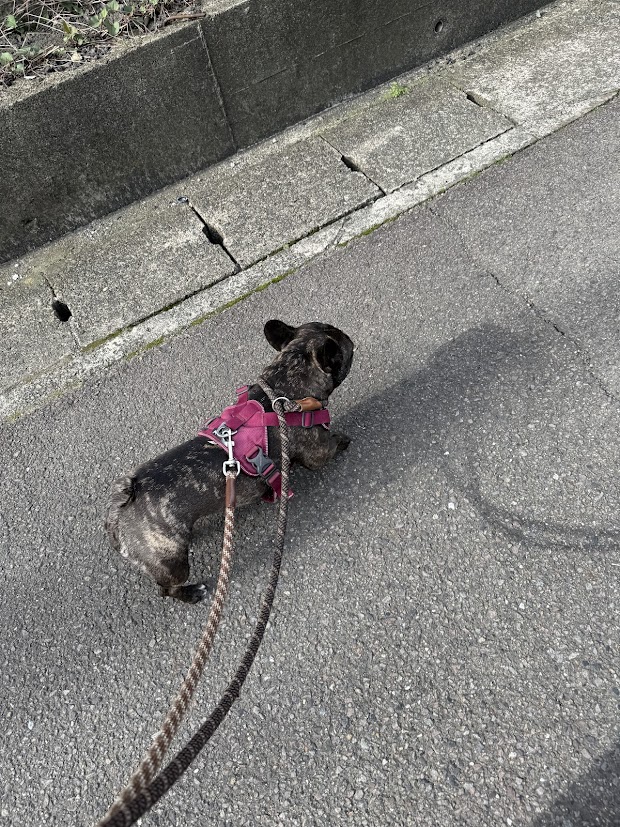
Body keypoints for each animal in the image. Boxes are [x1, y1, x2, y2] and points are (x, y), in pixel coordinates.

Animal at [105, 320, 354, 603]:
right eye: (346, 349)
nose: (350, 338)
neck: (283, 388)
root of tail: (120, 505)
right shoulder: (317, 451)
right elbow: (330, 445)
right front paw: (343, 439)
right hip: (171, 562)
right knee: (166, 589)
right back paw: (192, 593)